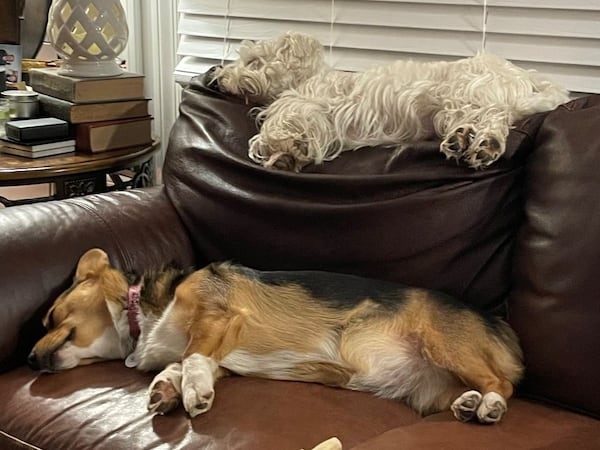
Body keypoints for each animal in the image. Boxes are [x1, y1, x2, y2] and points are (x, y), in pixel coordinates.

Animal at [30, 248, 524, 424]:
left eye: (51, 316)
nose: (31, 360)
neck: (146, 312)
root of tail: (498, 323)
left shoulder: (218, 317)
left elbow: (190, 357)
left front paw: (192, 395)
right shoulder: (218, 355)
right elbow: (181, 364)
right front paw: (166, 391)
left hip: (447, 345)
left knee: (502, 383)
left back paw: (490, 408)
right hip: (430, 390)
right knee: (470, 390)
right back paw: (467, 405)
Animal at [213, 32, 568, 172]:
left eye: (253, 61)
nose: (217, 78)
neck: (309, 76)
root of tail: (529, 80)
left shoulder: (307, 104)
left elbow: (283, 125)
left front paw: (283, 150)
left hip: (463, 93)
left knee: (492, 116)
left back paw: (477, 143)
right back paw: (472, 143)